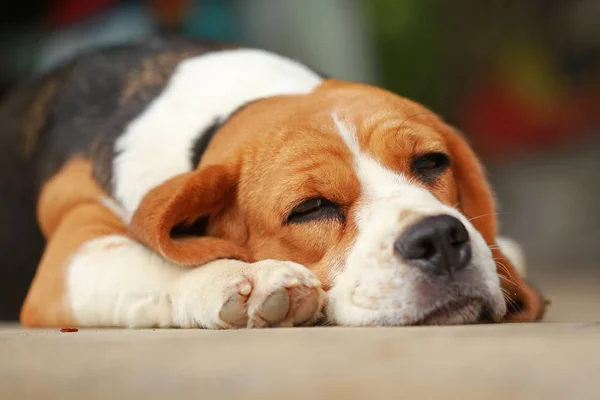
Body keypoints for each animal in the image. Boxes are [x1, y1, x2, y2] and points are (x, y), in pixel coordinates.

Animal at [4, 36, 548, 328]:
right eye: (309, 208)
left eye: (432, 162)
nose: (438, 238)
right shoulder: (67, 257)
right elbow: (156, 263)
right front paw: (238, 279)